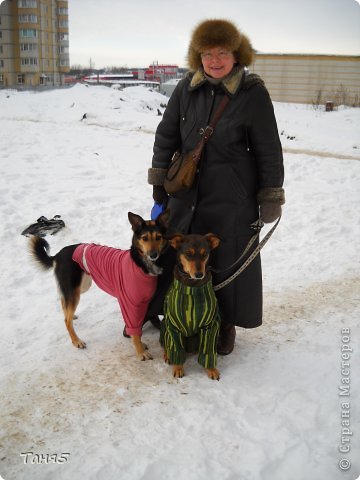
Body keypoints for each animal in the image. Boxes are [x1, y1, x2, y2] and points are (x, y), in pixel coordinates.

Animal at [28, 210, 169, 360]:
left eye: (158, 237)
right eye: (144, 238)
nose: (153, 255)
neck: (140, 264)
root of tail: (57, 255)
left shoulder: (143, 303)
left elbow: (138, 328)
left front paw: (141, 346)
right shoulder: (129, 304)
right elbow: (134, 331)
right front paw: (140, 352)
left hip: (82, 286)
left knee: (63, 301)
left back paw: (71, 315)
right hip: (75, 290)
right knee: (66, 320)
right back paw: (76, 341)